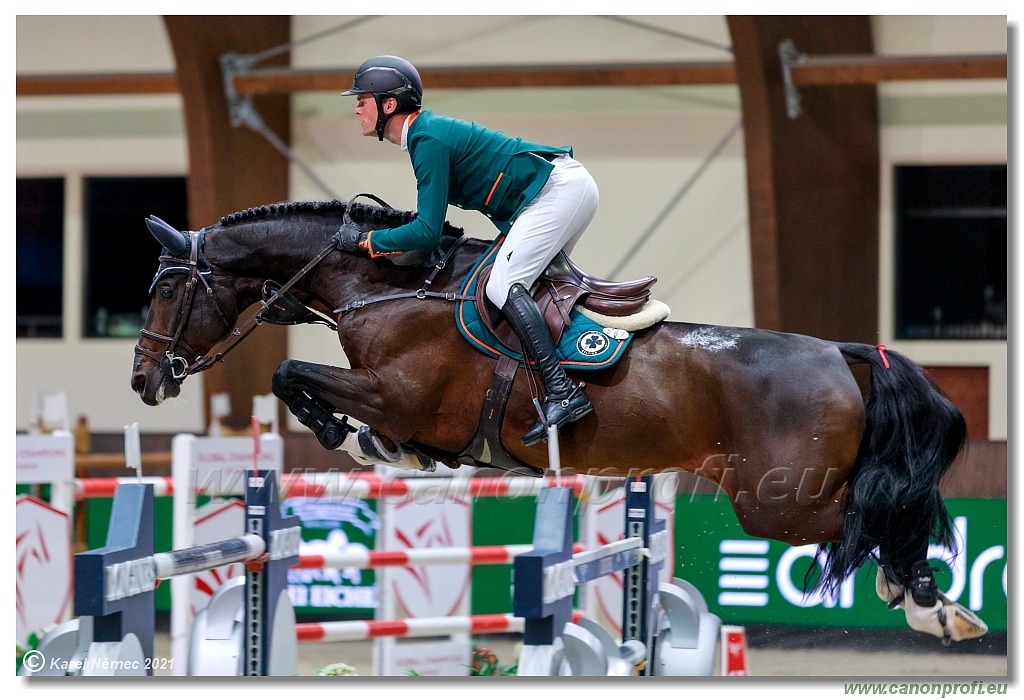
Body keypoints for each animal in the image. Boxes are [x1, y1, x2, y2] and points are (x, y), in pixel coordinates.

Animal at [128, 196, 983, 646]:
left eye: (166, 289)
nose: (143, 378)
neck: (385, 287)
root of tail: (841, 351)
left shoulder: (397, 394)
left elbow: (291, 374)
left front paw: (341, 431)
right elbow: (304, 382)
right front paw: (371, 444)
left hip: (779, 502)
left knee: (880, 513)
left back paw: (930, 601)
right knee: (884, 512)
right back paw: (926, 597)